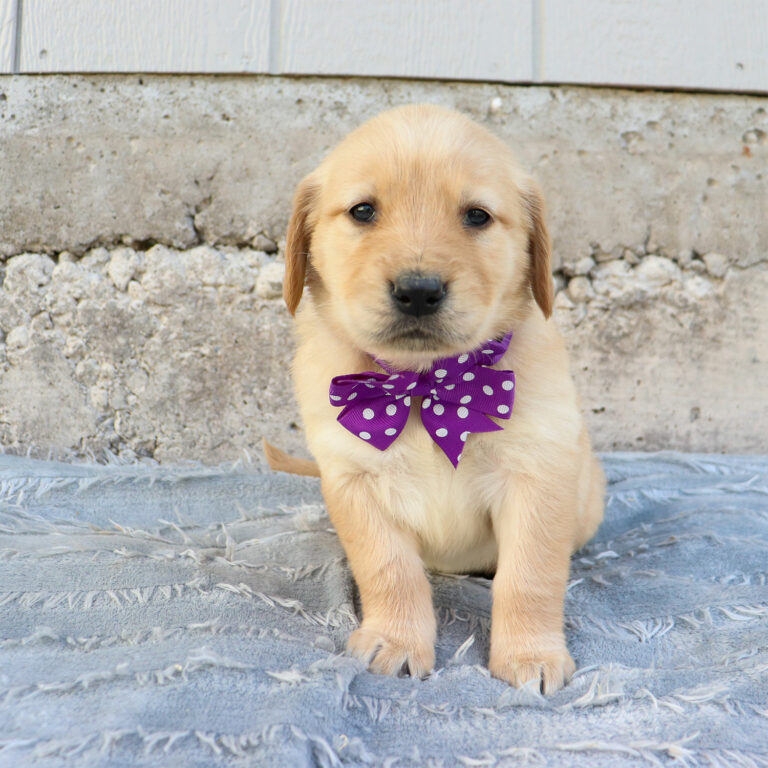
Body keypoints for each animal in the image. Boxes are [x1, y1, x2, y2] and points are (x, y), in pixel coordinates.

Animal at [272, 103, 604, 696]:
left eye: (476, 216)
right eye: (363, 211)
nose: (418, 291)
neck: (427, 384)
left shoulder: (538, 472)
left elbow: (531, 575)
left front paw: (530, 654)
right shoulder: (354, 480)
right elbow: (389, 569)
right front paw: (396, 640)